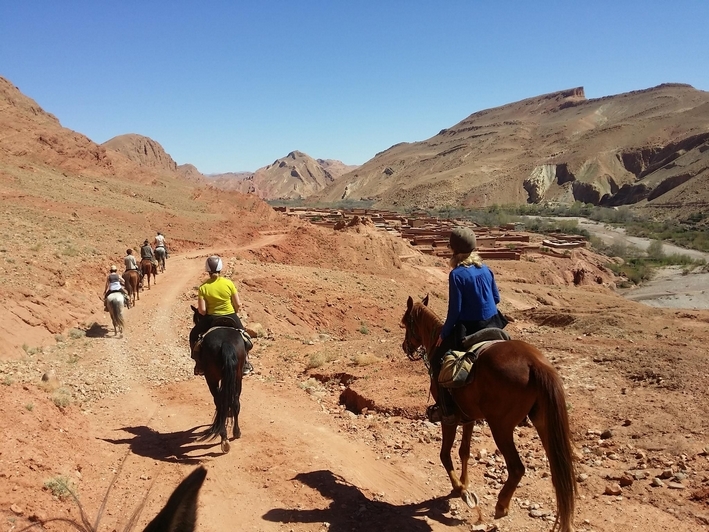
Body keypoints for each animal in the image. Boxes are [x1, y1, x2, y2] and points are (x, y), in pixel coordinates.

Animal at [191, 306, 246, 450]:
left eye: (196, 318)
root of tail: (225, 342)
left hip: (211, 378)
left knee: (220, 402)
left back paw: (224, 438)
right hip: (237, 376)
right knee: (235, 402)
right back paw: (236, 432)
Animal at [398, 296, 576, 532]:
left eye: (406, 324)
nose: (406, 347)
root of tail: (535, 363)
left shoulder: (449, 417)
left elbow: (445, 454)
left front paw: (461, 489)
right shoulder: (469, 416)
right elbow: (464, 451)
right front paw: (464, 483)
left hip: (501, 426)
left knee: (517, 468)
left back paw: (501, 506)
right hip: (543, 423)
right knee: (558, 474)